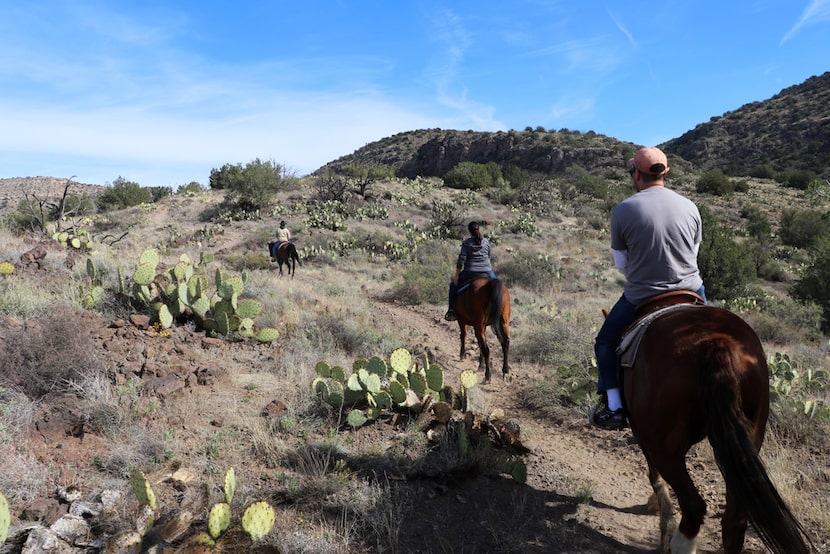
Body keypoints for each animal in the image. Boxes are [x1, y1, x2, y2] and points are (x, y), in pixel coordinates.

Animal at [624, 302, 812, 552]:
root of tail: (715, 341)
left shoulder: (641, 432)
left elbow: (653, 474)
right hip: (744, 449)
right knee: (734, 520)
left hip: (665, 449)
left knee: (693, 507)